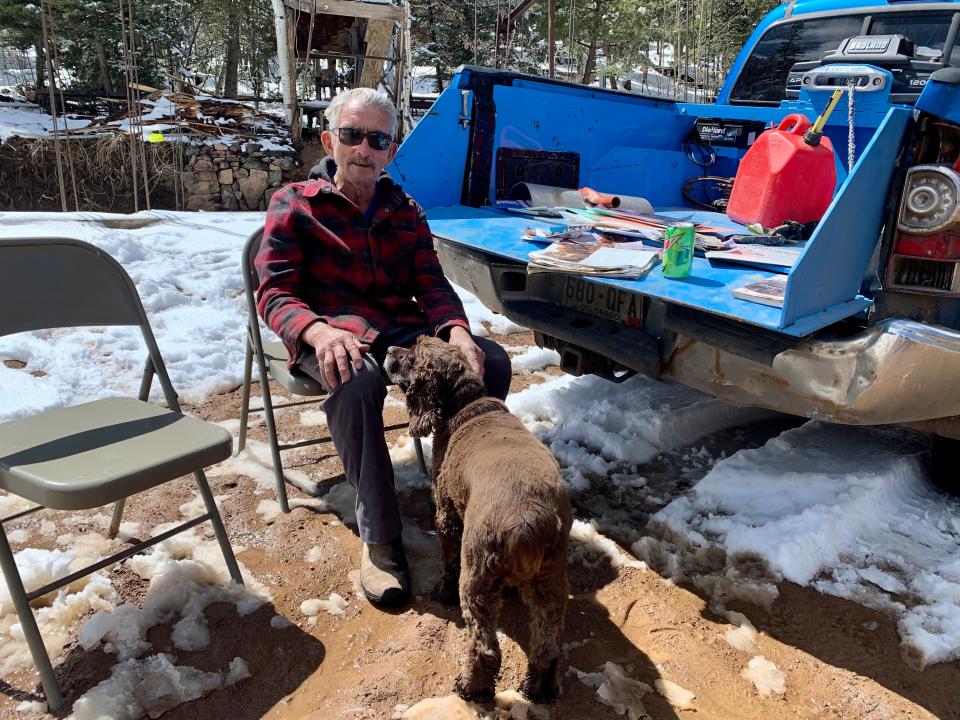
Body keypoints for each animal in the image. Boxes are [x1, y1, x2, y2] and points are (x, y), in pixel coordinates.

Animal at [386, 336, 572, 704]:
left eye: (410, 355)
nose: (386, 350)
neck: (467, 405)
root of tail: (530, 522)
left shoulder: (446, 514)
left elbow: (446, 559)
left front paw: (441, 591)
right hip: (550, 580)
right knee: (547, 644)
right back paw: (538, 688)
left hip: (477, 574)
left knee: (486, 647)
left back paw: (471, 688)